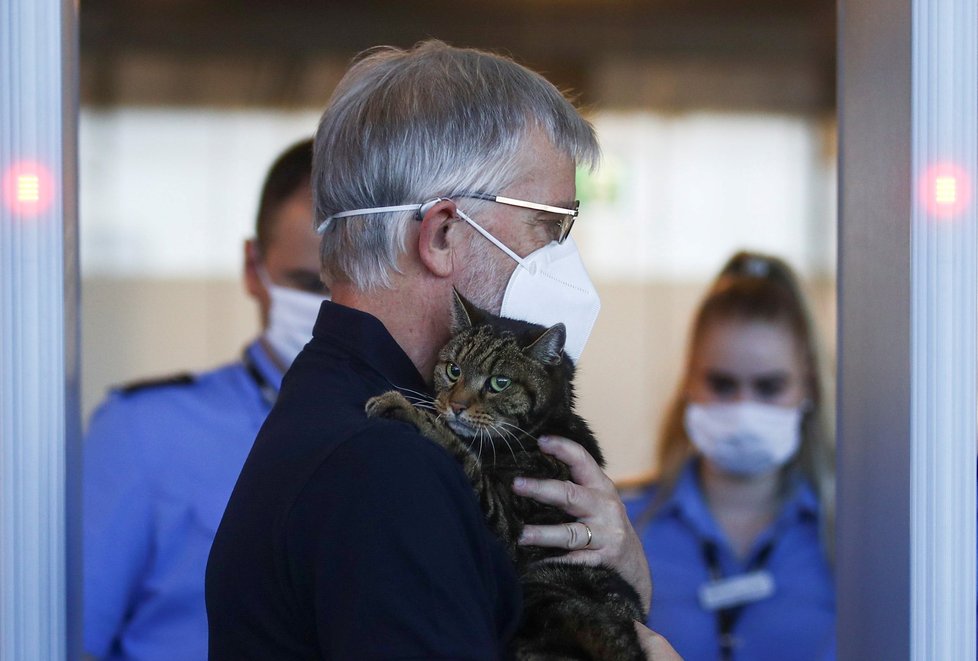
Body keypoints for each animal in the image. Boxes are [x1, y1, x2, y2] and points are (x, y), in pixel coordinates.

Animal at [362, 292, 644, 660]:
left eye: (499, 383)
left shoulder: (510, 531)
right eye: (453, 370)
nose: (456, 406)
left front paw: (407, 409)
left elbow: (460, 455)